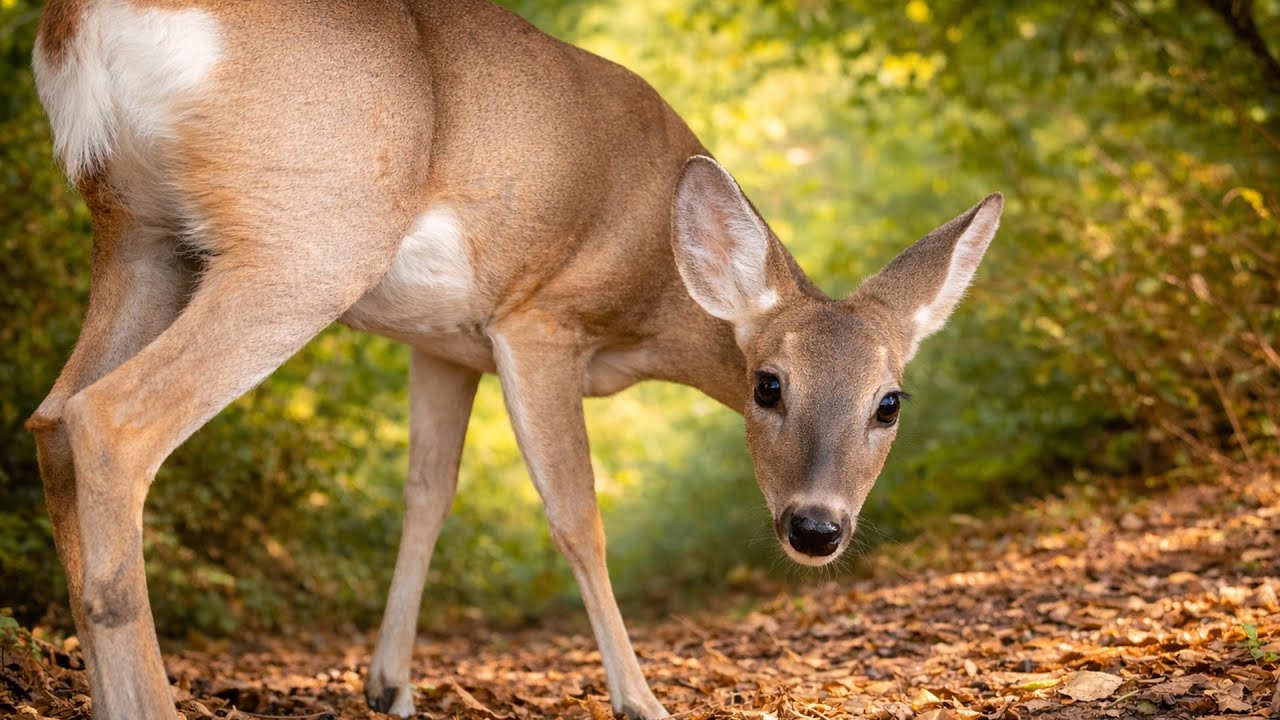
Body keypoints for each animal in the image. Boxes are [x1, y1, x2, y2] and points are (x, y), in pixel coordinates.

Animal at [26, 0, 1002, 717]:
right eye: (768, 385)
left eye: (890, 402)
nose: (816, 528)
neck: (654, 294)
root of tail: (80, 21)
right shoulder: (539, 321)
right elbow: (576, 515)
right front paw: (640, 700)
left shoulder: (444, 347)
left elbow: (427, 494)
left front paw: (390, 686)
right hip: (307, 241)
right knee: (110, 419)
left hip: (140, 232)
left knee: (50, 417)